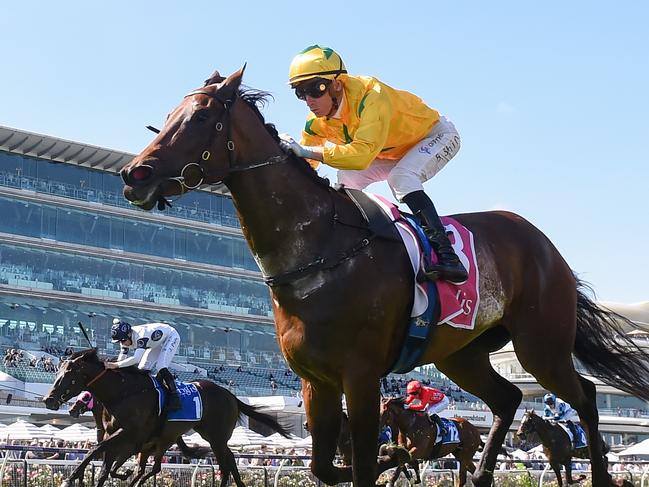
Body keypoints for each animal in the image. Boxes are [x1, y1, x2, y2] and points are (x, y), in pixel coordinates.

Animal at [44, 350, 288, 487]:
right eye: (56, 371)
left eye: (68, 375)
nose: (49, 400)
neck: (124, 392)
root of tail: (231, 396)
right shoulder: (120, 438)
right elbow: (105, 466)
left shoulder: (129, 435)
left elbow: (97, 451)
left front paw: (70, 478)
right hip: (194, 438)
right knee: (227, 461)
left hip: (216, 437)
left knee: (226, 463)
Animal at [119, 67, 648, 487]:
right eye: (169, 115)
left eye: (199, 118)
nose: (134, 175)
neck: (319, 252)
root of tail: (546, 247)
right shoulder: (316, 381)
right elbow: (328, 466)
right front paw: (394, 457)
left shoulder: (361, 375)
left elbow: (363, 463)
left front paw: (392, 457)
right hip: (463, 355)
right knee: (509, 397)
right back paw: (479, 474)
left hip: (542, 346)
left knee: (585, 396)